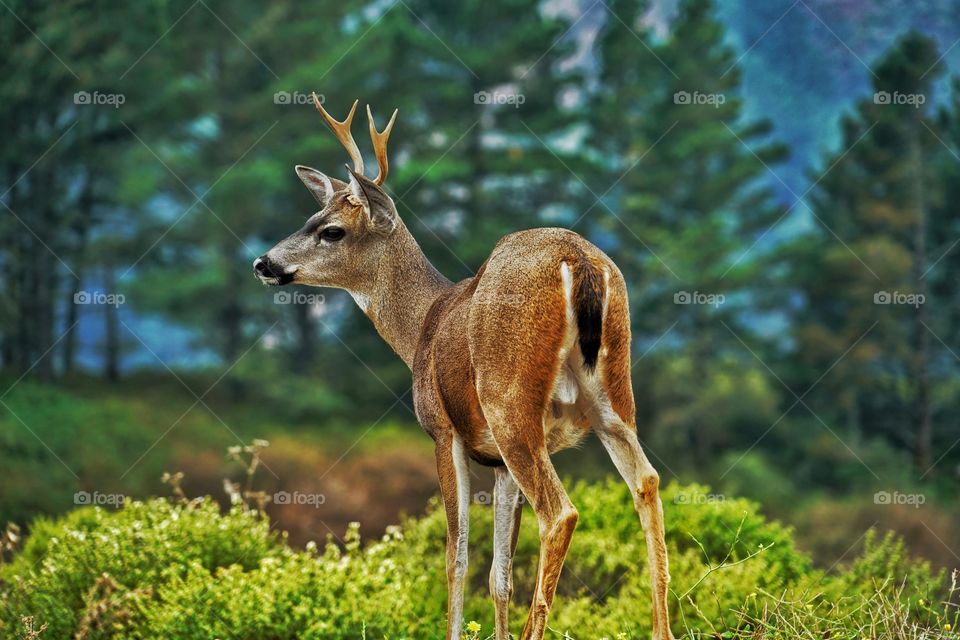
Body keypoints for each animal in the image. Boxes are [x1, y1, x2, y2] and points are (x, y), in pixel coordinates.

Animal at [255, 95, 676, 640]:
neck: (421, 328)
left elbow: (456, 558)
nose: (263, 263)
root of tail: (579, 262)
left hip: (509, 399)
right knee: (646, 482)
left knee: (561, 512)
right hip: (614, 393)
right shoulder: (496, 462)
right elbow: (499, 574)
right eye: (311, 214)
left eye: (332, 231)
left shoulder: (443, 430)